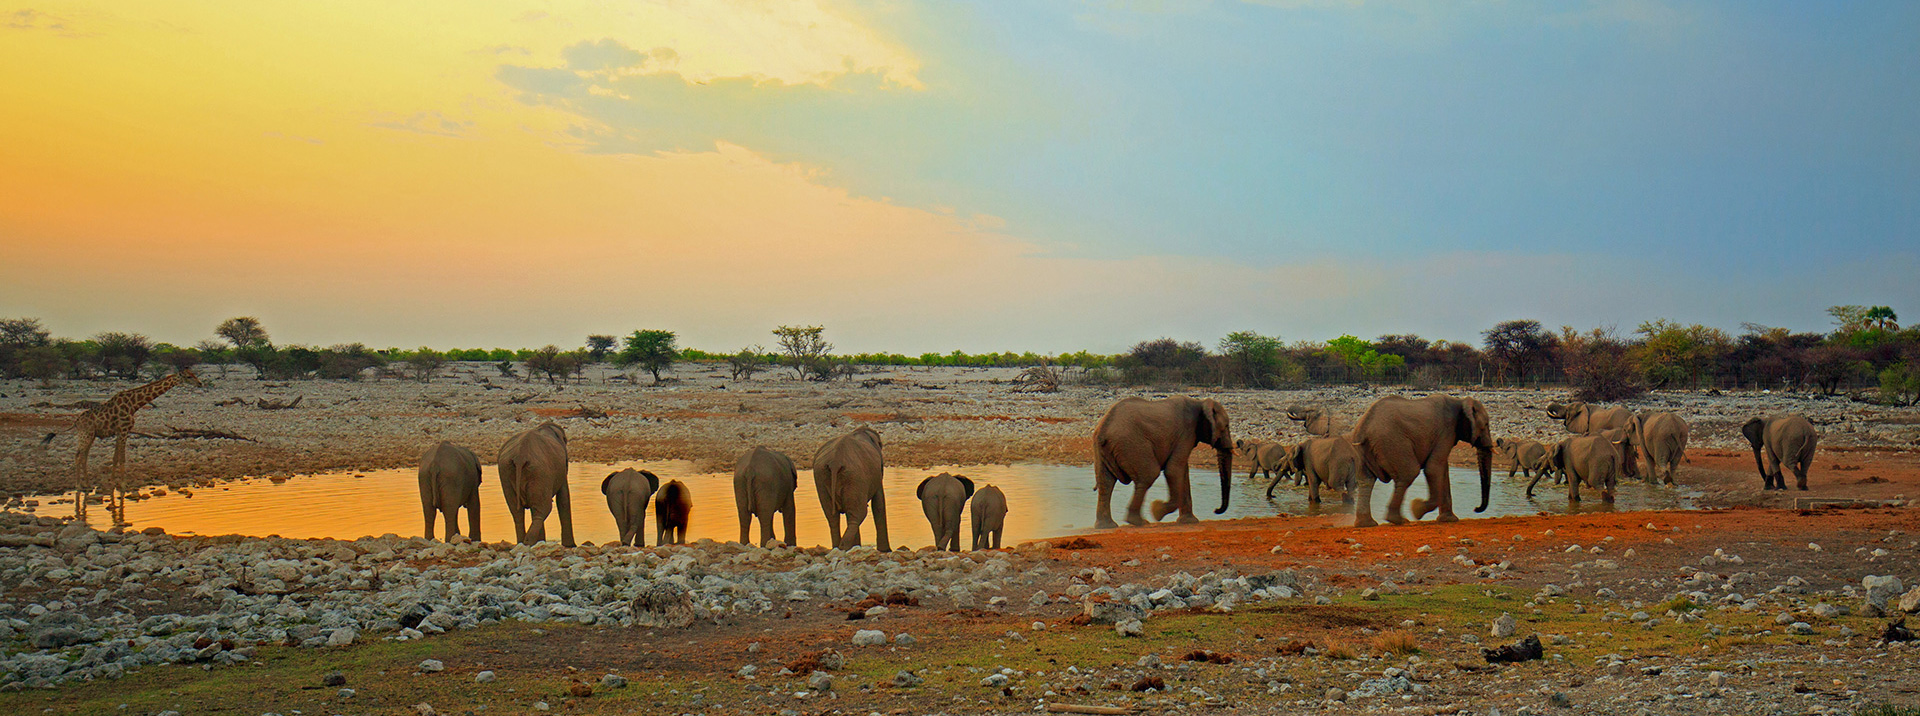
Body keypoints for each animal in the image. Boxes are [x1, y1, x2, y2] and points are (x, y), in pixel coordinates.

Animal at [40, 364, 203, 514]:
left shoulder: (119, 431)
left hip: (91, 436)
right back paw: (79, 486)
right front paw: (124, 485)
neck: (134, 404)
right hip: (85, 434)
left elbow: (115, 458)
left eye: (193, 374)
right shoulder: (124, 430)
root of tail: (76, 422)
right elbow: (122, 458)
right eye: (188, 376)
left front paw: (113, 483)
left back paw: (87, 485)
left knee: (83, 456)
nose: (200, 384)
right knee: (78, 456)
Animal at [1090, 393, 1236, 525]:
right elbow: (1173, 471)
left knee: (1106, 482)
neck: (1200, 402)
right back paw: (1139, 522)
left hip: (1103, 448)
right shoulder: (1186, 433)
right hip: (1131, 444)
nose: (1215, 510)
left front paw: (1189, 522)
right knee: (1149, 474)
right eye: (1226, 426)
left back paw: (1107, 525)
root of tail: (1104, 427)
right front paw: (1156, 511)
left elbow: (1182, 472)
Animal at [1344, 389, 1489, 525]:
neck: (1460, 401)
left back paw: (1367, 524)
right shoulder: (1446, 432)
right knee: (1409, 473)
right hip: (1392, 442)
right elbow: (1433, 469)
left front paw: (1449, 520)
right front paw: (1416, 509)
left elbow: (1442, 470)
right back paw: (1399, 520)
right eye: (1486, 425)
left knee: (1366, 480)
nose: (1475, 508)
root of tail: (1364, 425)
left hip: (1363, 448)